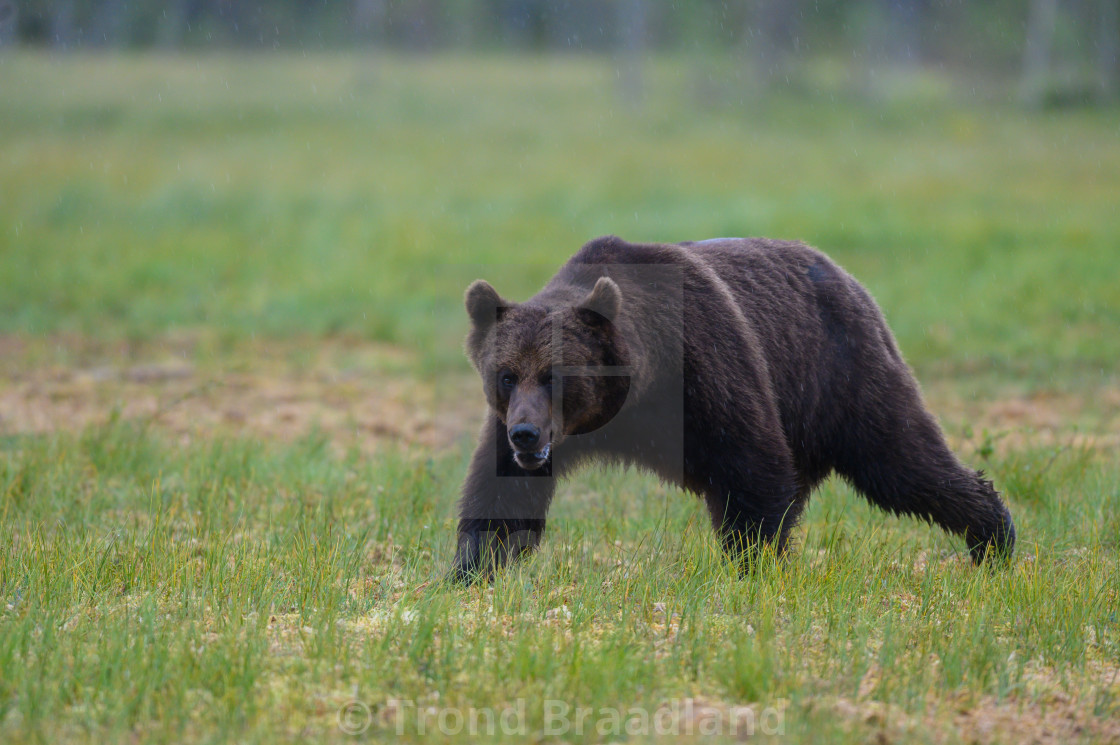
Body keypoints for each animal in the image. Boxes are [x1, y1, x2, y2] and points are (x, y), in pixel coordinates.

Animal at [445, 234, 1016, 582]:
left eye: (555, 376)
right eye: (506, 375)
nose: (526, 434)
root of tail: (847, 277)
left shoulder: (704, 370)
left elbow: (752, 472)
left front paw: (751, 567)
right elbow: (501, 500)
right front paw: (469, 572)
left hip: (840, 373)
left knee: (900, 459)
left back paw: (993, 537)